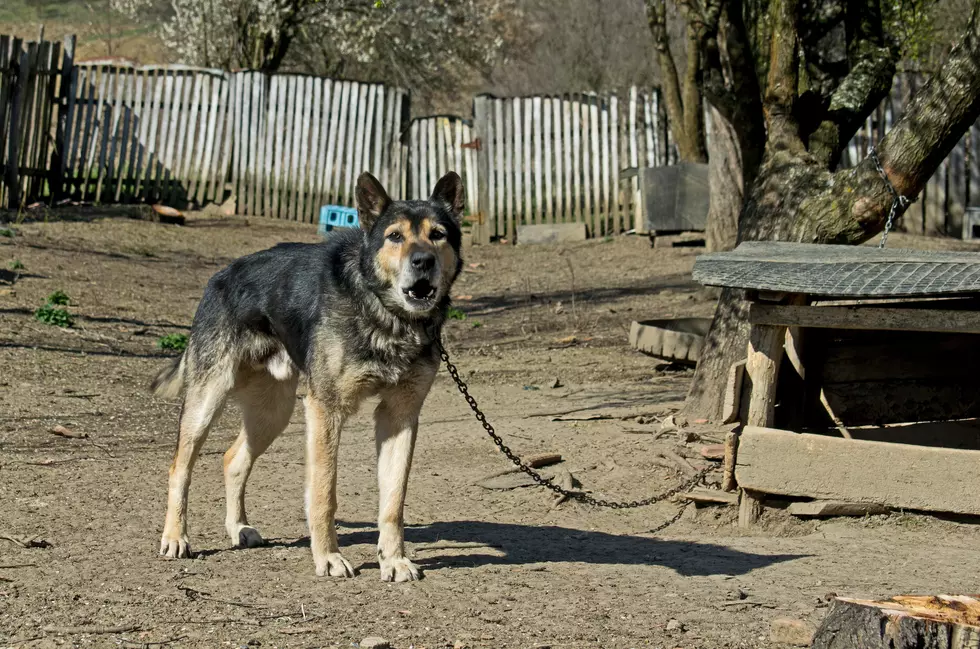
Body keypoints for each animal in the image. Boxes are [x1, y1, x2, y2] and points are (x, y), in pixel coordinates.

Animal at [149, 170, 464, 580]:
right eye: (395, 236)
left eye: (437, 234)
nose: (423, 260)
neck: (385, 314)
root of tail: (220, 275)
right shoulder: (325, 410)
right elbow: (324, 493)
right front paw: (328, 557)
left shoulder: (400, 417)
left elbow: (393, 503)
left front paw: (393, 560)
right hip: (207, 402)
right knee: (179, 468)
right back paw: (175, 537)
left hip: (272, 413)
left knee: (233, 459)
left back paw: (238, 528)